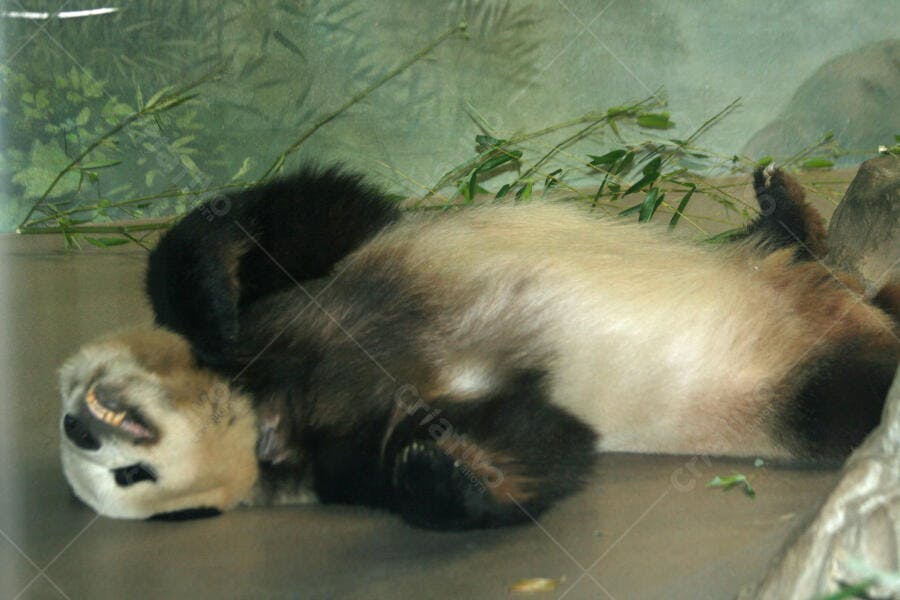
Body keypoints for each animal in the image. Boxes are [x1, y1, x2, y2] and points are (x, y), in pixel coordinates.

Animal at [58, 164, 899, 529]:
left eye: (72, 393)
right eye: (125, 479)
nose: (79, 425)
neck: (271, 399)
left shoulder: (328, 281)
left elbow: (312, 215)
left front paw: (210, 305)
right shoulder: (341, 455)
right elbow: (541, 437)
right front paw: (445, 467)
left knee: (796, 254)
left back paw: (784, 204)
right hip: (788, 387)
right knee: (848, 389)